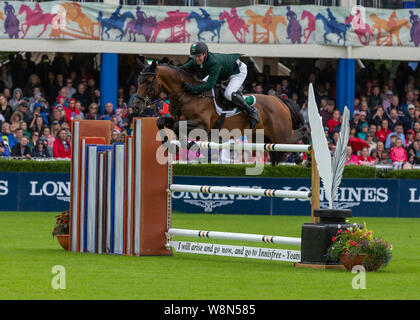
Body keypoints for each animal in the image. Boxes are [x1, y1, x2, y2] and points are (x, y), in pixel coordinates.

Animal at [135, 60, 308, 165]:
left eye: (149, 81)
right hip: (262, 137)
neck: (188, 95)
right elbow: (161, 122)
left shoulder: (202, 125)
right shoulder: (176, 119)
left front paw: (195, 148)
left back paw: (304, 158)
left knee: (302, 132)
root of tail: (279, 99)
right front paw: (172, 146)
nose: (136, 106)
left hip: (281, 135)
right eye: (138, 81)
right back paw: (298, 159)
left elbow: (178, 128)